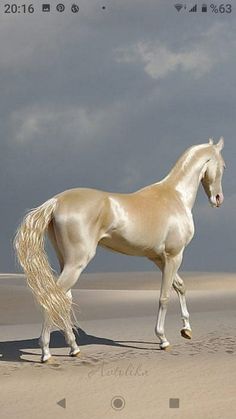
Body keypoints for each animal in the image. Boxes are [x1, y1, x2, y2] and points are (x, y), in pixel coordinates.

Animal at [14, 139, 225, 364]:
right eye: (223, 165)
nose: (218, 198)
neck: (175, 197)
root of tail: (56, 202)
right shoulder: (174, 256)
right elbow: (165, 296)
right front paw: (163, 339)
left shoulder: (159, 259)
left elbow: (180, 287)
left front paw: (186, 329)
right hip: (77, 263)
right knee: (53, 298)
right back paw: (46, 352)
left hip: (66, 262)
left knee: (63, 299)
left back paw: (73, 348)